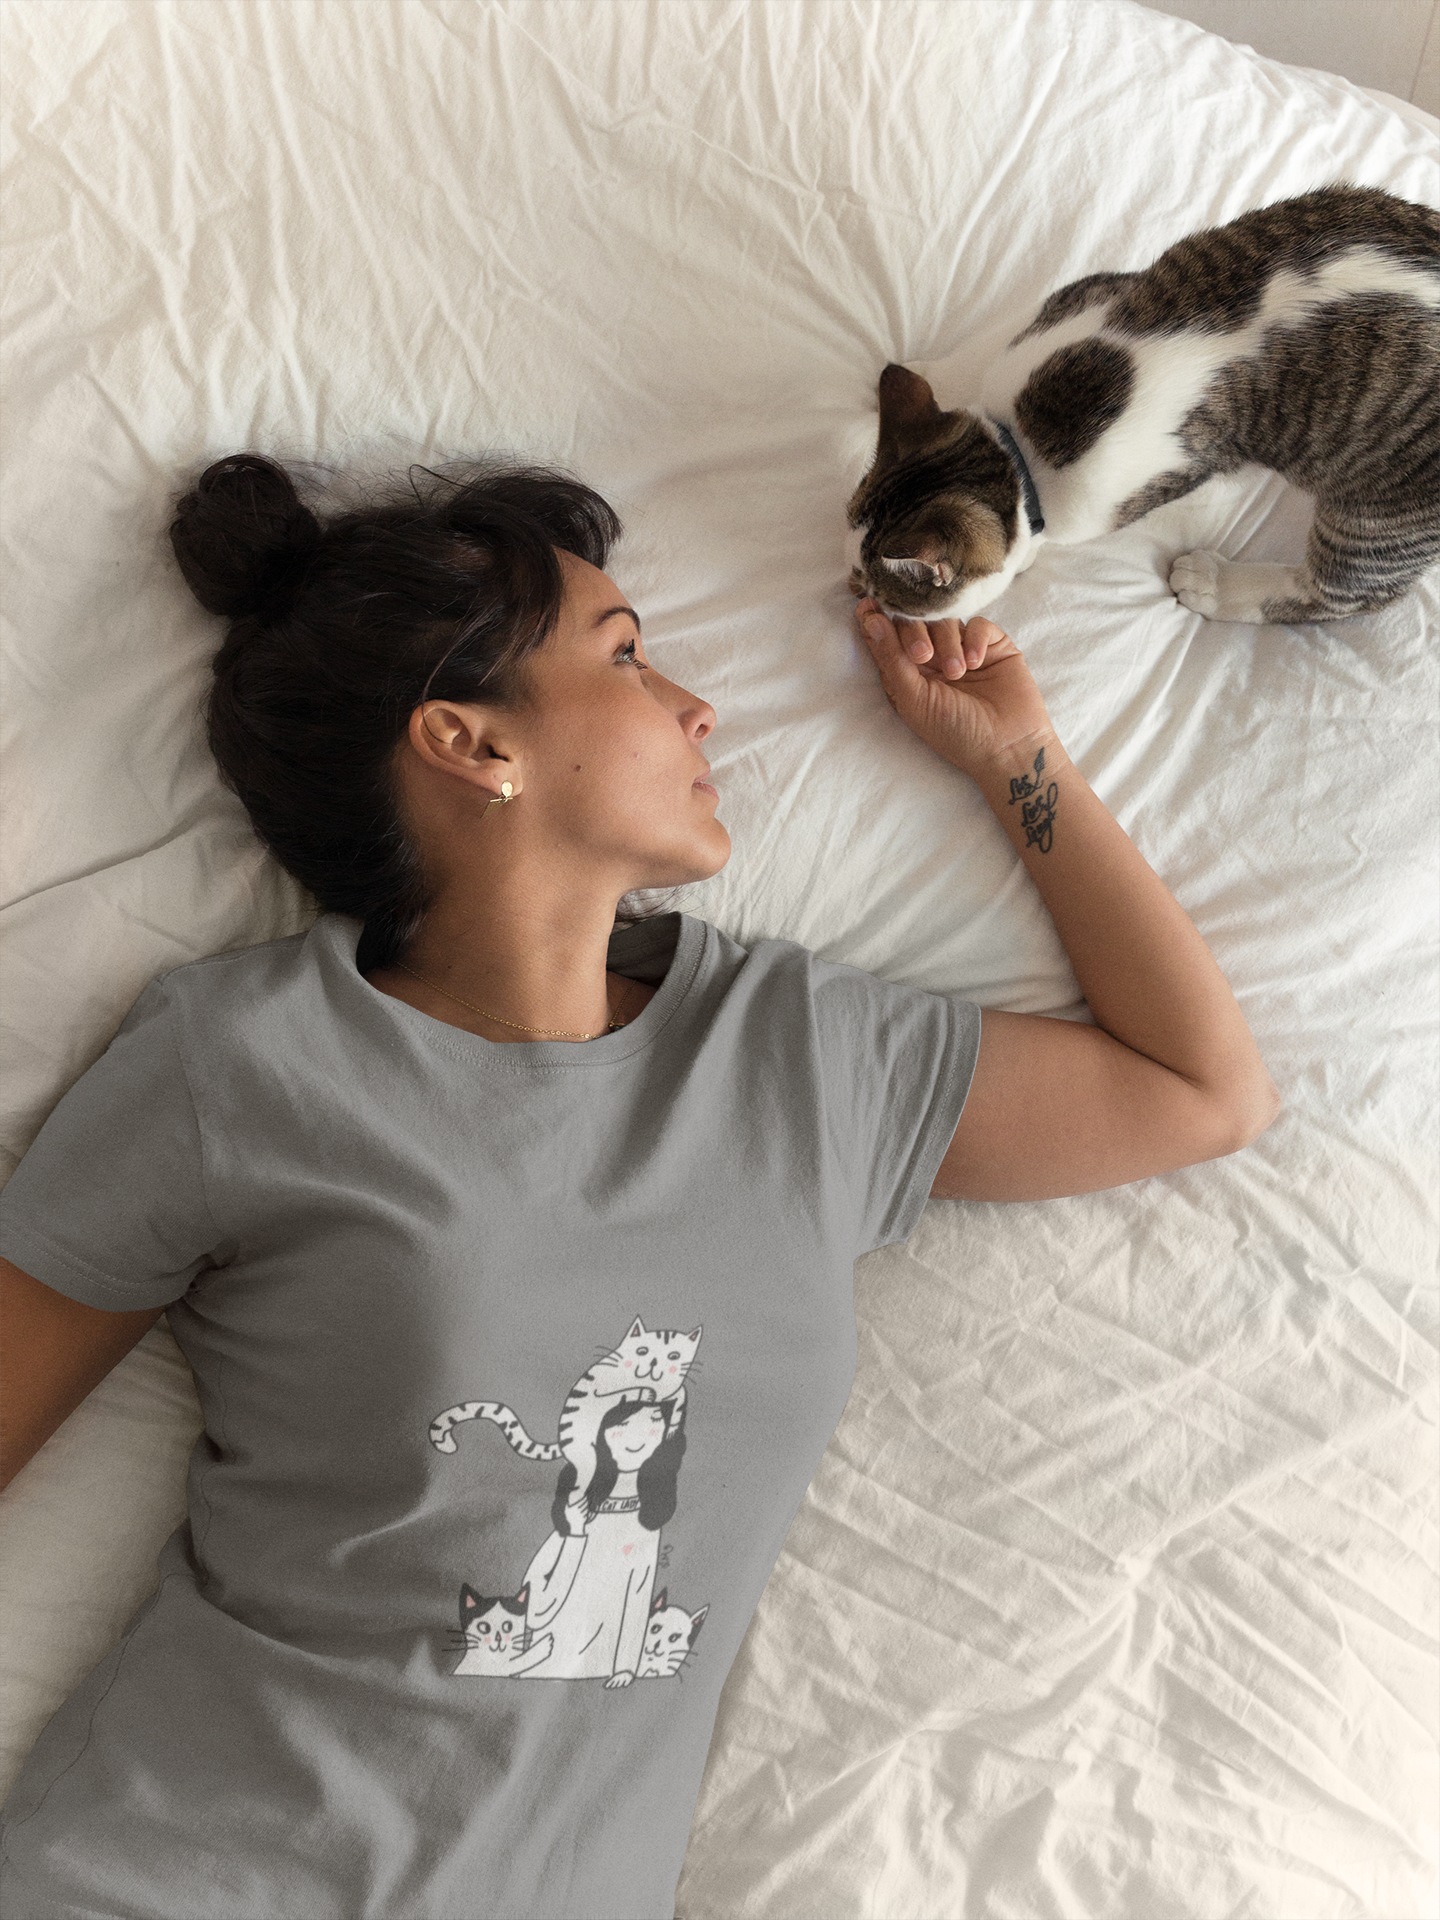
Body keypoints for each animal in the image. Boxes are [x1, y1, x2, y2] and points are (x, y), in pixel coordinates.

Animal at [429, 1317, 703, 1527]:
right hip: (588, 1456)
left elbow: (679, 1394)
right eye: (642, 1351)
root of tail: (562, 1440)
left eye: (674, 1355)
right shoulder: (605, 1391)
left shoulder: (671, 1390)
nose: (655, 1364)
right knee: (578, 1489)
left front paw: (673, 1421)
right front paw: (643, 1392)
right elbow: (628, 1391)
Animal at [846, 184, 1439, 628]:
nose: (857, 588)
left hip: (1391, 505)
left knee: (1348, 590)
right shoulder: (1087, 293)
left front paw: (1029, 558)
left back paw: (1219, 586)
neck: (1020, 448)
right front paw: (924, 371)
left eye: (886, 594)